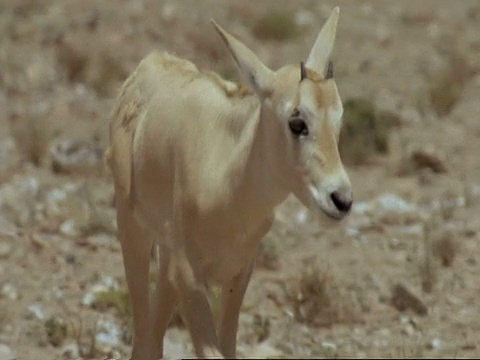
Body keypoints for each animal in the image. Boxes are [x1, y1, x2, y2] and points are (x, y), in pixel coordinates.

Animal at [109, 7, 352, 358]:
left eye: (339, 118)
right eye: (297, 122)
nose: (341, 200)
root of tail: (150, 65)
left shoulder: (239, 270)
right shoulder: (189, 276)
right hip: (133, 230)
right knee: (143, 335)